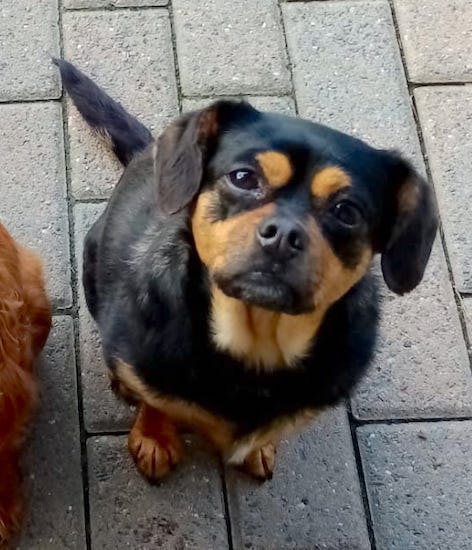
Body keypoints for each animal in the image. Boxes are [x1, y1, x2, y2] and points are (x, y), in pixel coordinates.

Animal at [56, 60, 438, 480]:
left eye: (347, 212)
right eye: (243, 177)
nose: (283, 235)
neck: (257, 344)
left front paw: (258, 448)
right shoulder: (142, 364)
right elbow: (153, 400)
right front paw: (154, 437)